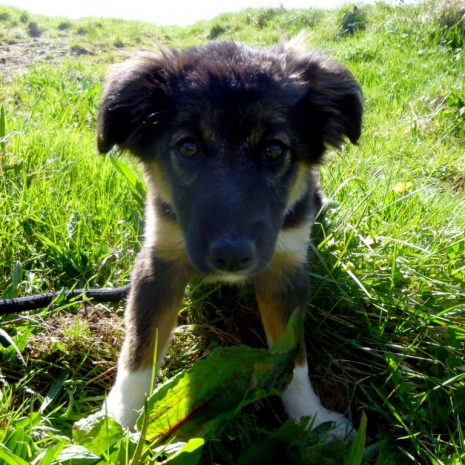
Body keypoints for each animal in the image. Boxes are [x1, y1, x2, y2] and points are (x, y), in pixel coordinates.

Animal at [96, 38, 360, 436]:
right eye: (188, 148)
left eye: (274, 150)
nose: (232, 258)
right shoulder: (160, 260)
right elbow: (140, 346)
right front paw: (118, 420)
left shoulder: (285, 269)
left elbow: (292, 356)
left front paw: (311, 419)